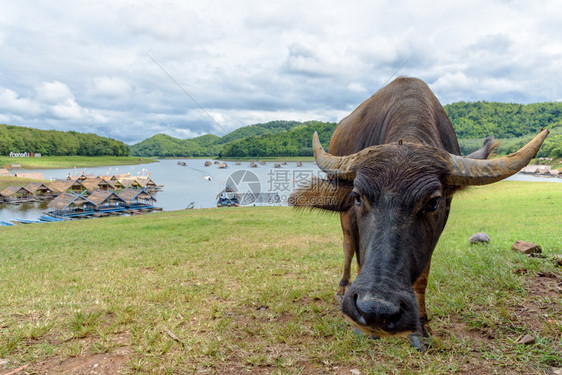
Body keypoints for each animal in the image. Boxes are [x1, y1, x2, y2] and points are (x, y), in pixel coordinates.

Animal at [288, 78, 548, 352]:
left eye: (433, 202)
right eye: (358, 196)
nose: (375, 310)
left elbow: (423, 276)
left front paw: (421, 328)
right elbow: (358, 257)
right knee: (348, 245)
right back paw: (341, 288)